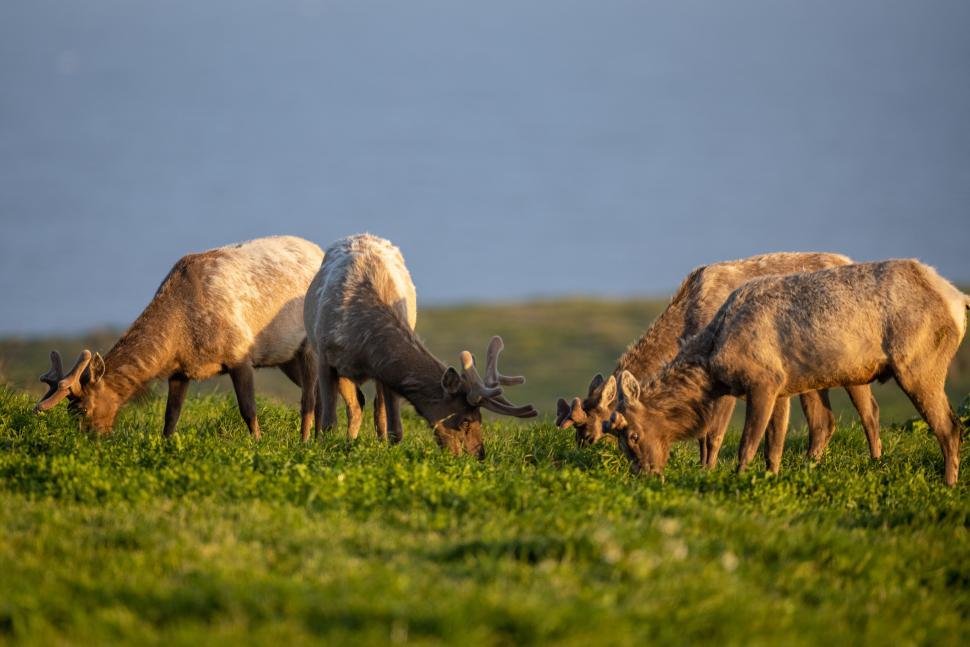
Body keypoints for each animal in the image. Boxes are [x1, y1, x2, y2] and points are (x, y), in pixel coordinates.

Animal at [35, 236, 325, 440]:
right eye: (69, 411)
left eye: (83, 408)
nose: (88, 440)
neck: (181, 337)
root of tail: (320, 251)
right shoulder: (180, 371)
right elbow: (170, 417)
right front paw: (165, 445)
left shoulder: (239, 353)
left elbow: (248, 409)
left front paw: (257, 443)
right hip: (286, 356)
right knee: (319, 391)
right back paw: (322, 437)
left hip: (308, 346)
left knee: (309, 398)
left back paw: (305, 440)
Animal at [303, 234, 537, 456]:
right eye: (465, 420)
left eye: (480, 417)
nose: (479, 454)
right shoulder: (324, 356)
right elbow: (329, 422)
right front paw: (325, 447)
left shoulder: (383, 371)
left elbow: (395, 428)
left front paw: (389, 452)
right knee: (351, 406)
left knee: (373, 409)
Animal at [555, 252, 882, 467]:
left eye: (592, 422)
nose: (581, 442)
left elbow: (712, 435)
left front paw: (708, 470)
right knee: (823, 422)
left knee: (869, 411)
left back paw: (875, 462)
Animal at [610, 259, 969, 486]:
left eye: (633, 436)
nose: (646, 475)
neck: (714, 359)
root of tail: (957, 299)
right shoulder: (781, 387)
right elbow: (774, 446)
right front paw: (770, 477)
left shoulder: (763, 381)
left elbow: (747, 445)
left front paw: (738, 480)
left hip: (918, 365)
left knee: (950, 427)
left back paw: (948, 485)